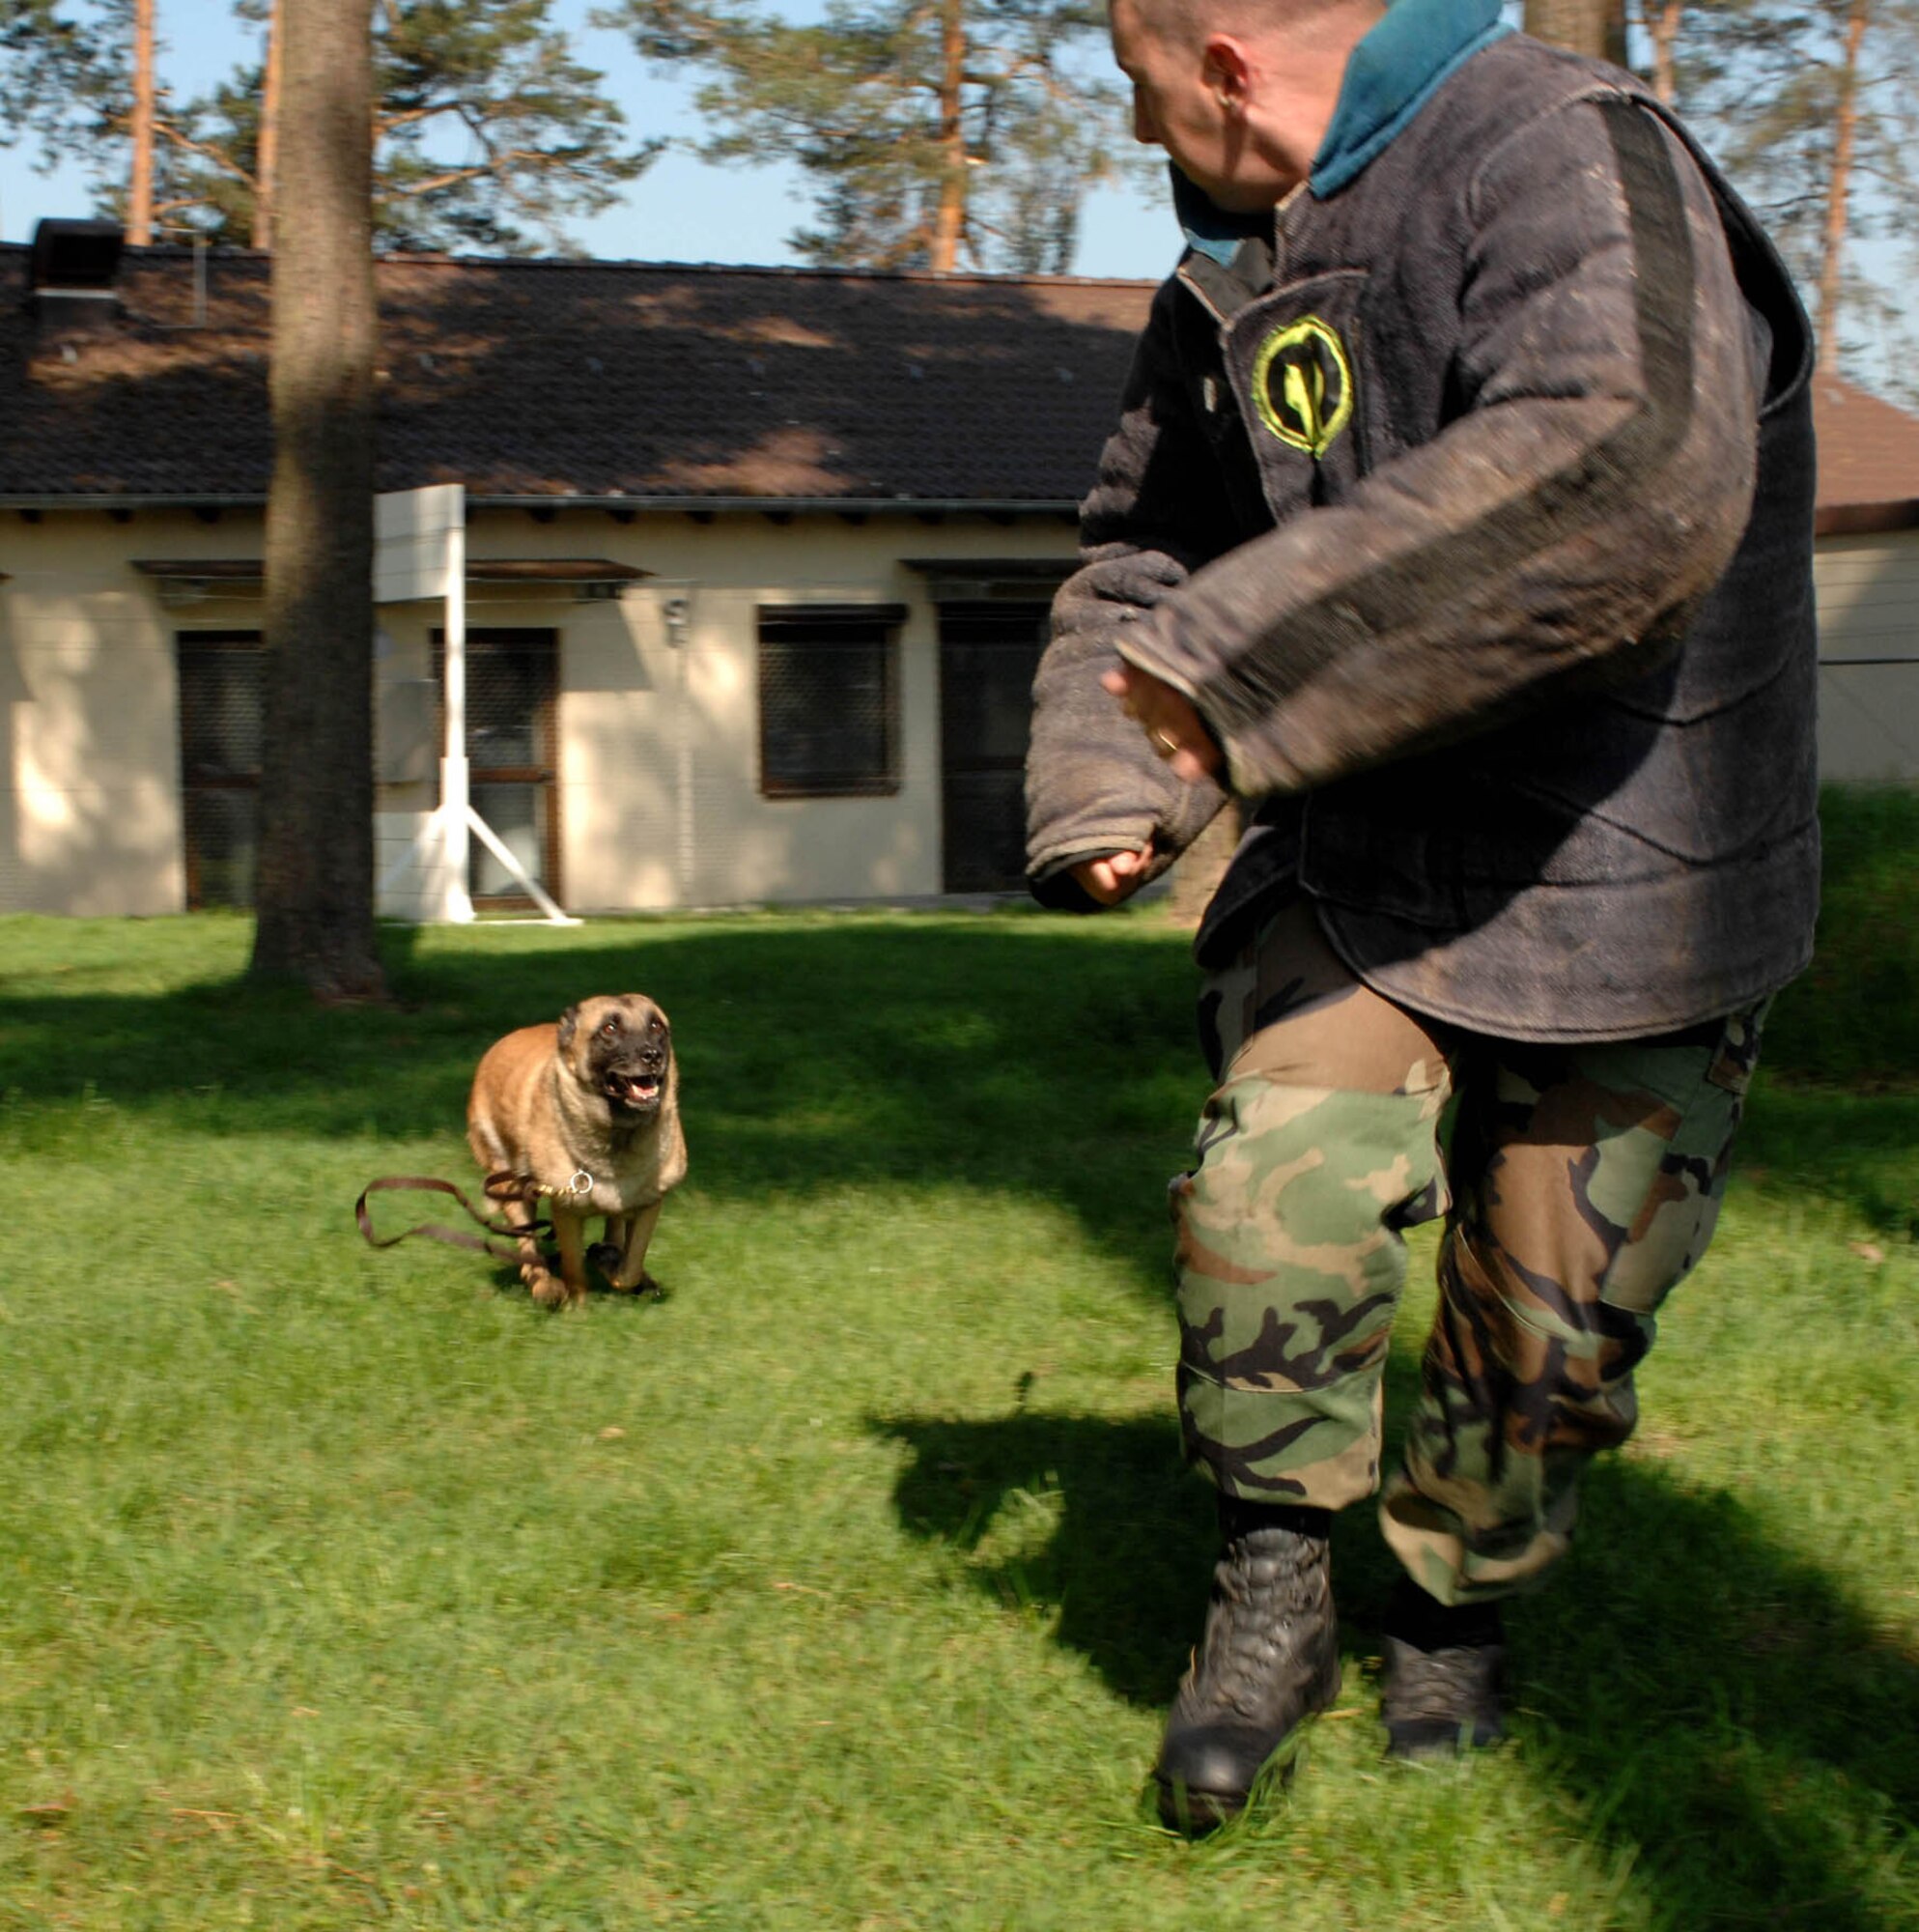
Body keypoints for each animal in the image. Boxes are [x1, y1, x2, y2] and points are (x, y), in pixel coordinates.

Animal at [465, 997, 687, 1314]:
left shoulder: (649, 1204)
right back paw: (546, 1286)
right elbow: (573, 1267)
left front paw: (613, 1263)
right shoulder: (565, 1210)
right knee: (529, 1251)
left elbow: (630, 1266)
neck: (616, 1135)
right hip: (510, 1185)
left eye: (656, 1025)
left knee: (614, 1229)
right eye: (609, 1028)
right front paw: (577, 1308)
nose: (652, 1055)